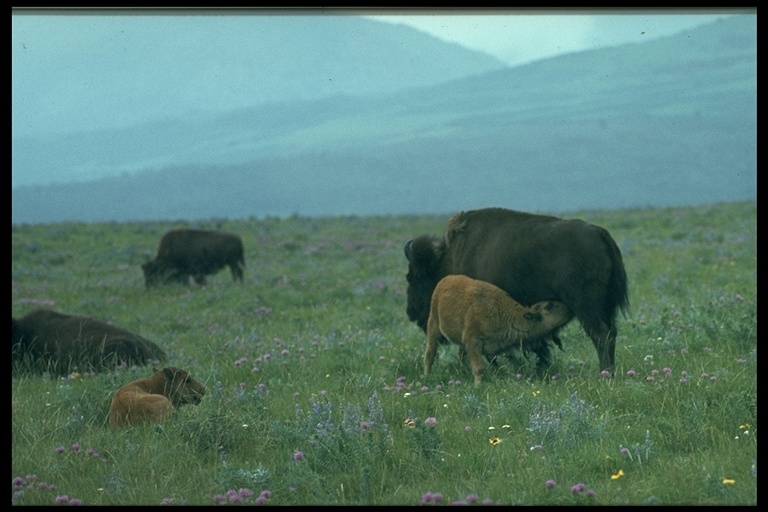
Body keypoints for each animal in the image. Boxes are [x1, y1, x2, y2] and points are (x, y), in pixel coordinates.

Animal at [404, 207, 628, 372]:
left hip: (585, 306)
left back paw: (605, 373)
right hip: (606, 307)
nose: (410, 312)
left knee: (600, 334)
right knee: (612, 333)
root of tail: (599, 233)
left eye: (411, 278)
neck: (449, 259)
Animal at [424, 276, 572, 384]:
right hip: (433, 326)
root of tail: (444, 280)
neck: (501, 313)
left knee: (460, 354)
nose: (568, 308)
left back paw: (463, 371)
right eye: (549, 306)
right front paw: (478, 386)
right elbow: (479, 368)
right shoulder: (472, 342)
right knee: (430, 353)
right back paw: (427, 375)